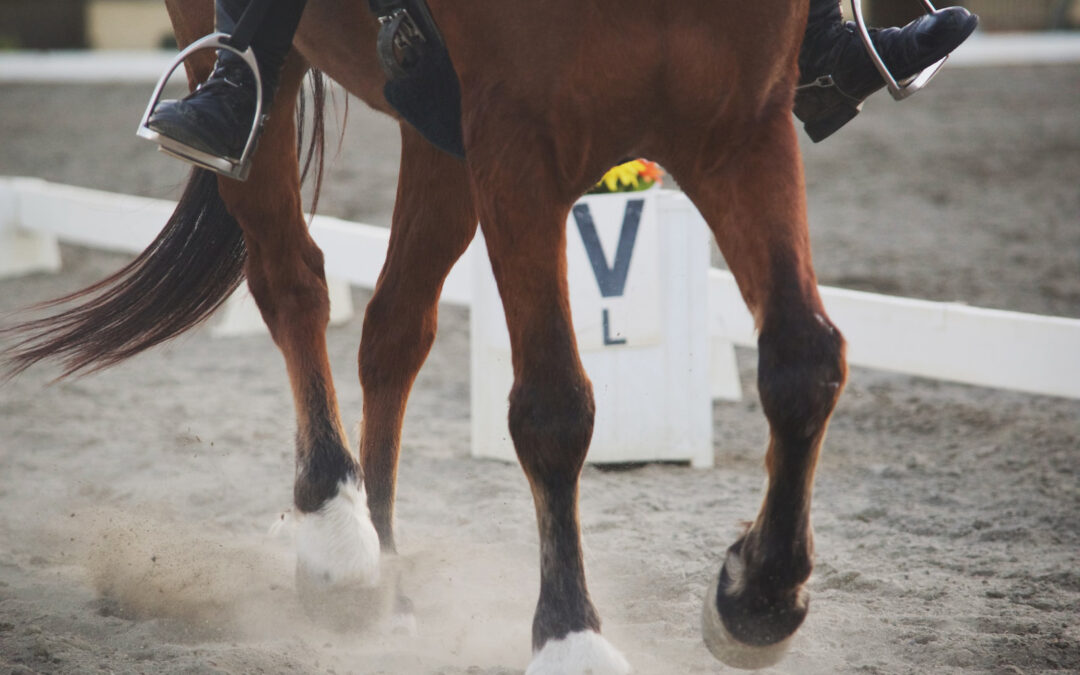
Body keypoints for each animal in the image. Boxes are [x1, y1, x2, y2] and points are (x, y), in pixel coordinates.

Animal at [2, 0, 847, 671]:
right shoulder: (516, 138)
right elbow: (552, 407)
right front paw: (571, 639)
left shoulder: (742, 126)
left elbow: (804, 360)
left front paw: (759, 598)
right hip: (251, 69)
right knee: (292, 280)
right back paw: (337, 540)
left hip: (437, 135)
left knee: (393, 329)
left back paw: (390, 583)